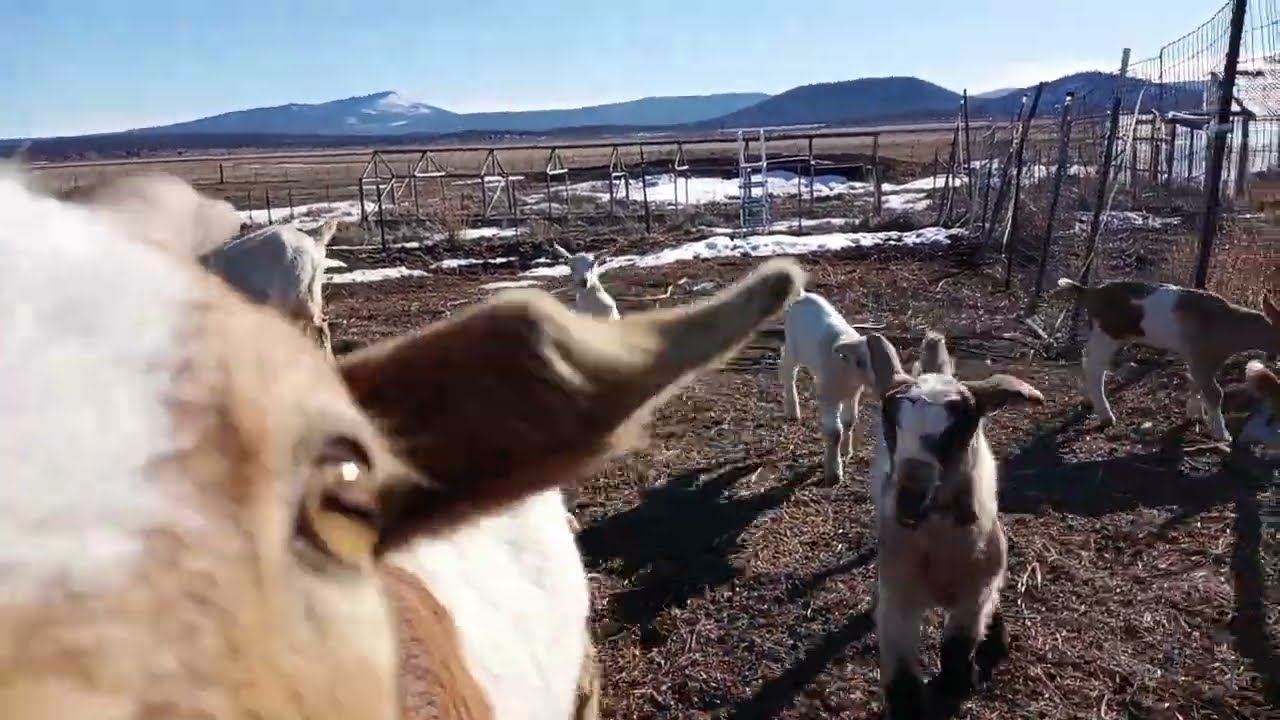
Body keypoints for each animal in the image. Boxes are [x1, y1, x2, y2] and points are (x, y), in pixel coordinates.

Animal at [779, 291, 883, 483]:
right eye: (859, 362)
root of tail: (803, 294)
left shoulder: (852, 394)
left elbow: (849, 422)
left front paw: (846, 451)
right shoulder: (829, 398)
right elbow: (834, 433)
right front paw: (834, 472)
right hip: (792, 345)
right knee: (788, 371)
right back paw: (792, 410)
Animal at [864, 332, 1043, 719]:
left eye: (961, 428)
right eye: (889, 426)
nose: (909, 502)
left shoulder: (974, 596)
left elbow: (956, 650)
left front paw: (962, 682)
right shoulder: (897, 602)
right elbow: (901, 679)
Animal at [1055, 278, 1280, 442]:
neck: (1228, 324)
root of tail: (1089, 292)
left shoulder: (1198, 358)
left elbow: (1196, 383)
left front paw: (1195, 414)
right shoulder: (1202, 357)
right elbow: (1215, 392)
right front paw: (1222, 434)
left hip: (1104, 335)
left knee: (1088, 359)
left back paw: (1087, 398)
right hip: (1108, 334)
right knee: (1095, 368)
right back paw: (1105, 415)